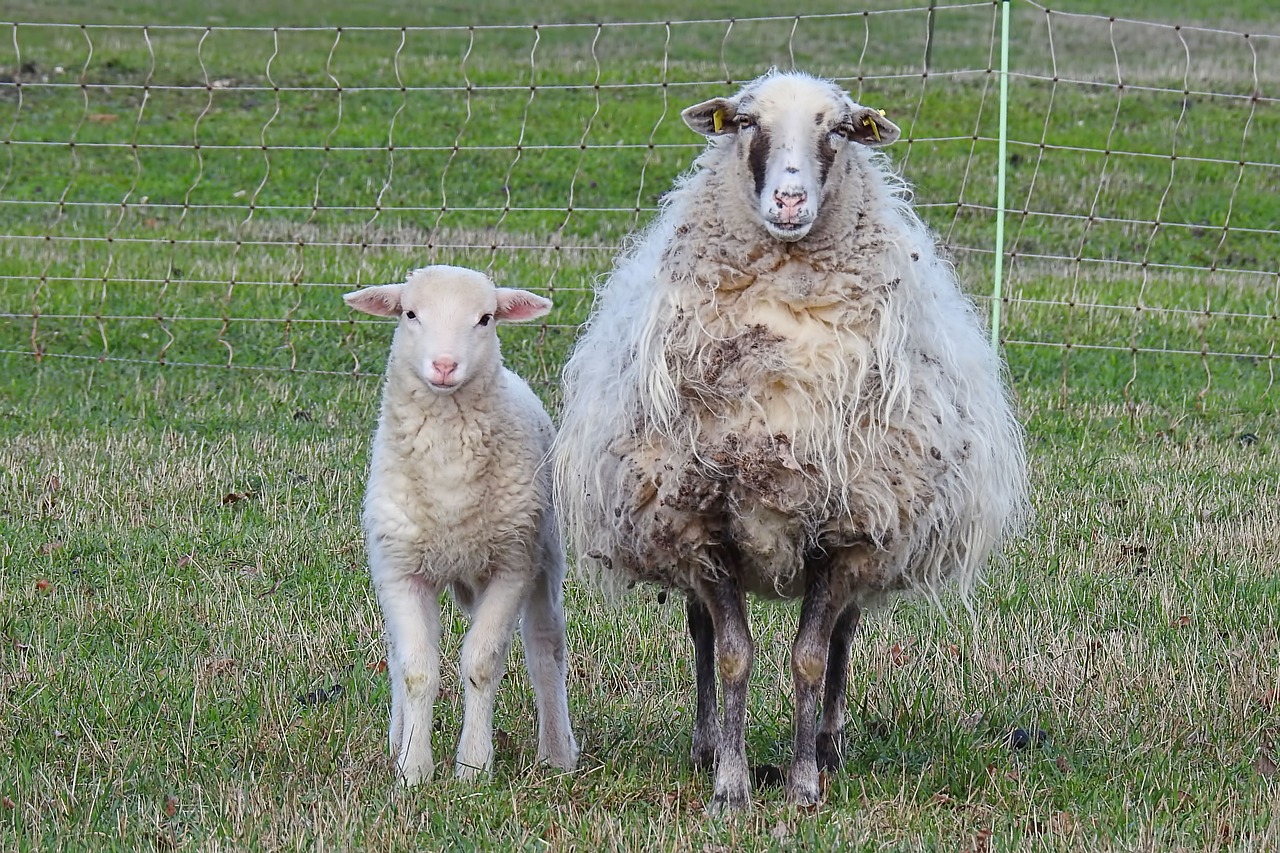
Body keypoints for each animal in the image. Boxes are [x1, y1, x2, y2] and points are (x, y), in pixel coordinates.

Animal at [343, 262, 578, 778]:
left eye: (485, 318)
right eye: (410, 313)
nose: (445, 366)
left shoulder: (512, 567)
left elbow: (481, 665)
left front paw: (473, 766)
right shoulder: (400, 572)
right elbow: (416, 670)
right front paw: (413, 768)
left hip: (544, 555)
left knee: (544, 647)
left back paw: (557, 751)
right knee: (397, 654)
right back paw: (396, 739)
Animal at [552, 69, 1029, 809]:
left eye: (840, 129)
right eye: (747, 123)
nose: (790, 199)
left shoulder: (846, 529)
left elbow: (809, 657)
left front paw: (804, 782)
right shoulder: (704, 524)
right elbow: (731, 654)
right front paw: (730, 784)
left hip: (869, 535)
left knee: (843, 636)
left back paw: (828, 745)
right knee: (701, 631)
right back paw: (707, 745)